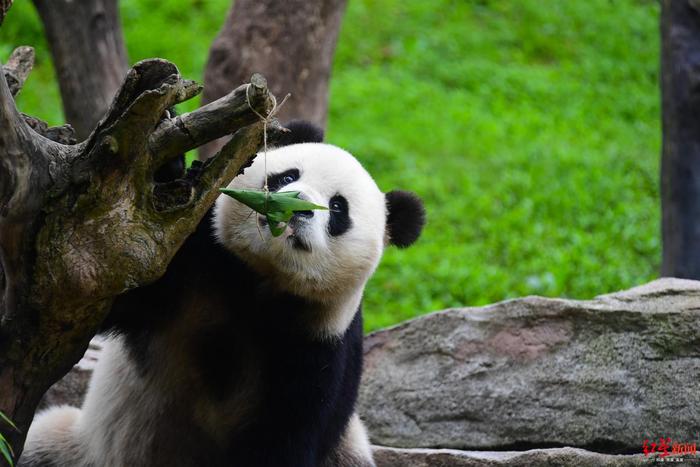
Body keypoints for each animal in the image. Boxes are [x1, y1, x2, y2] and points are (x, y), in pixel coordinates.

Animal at [19, 121, 426, 467]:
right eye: (288, 175)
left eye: (338, 207)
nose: (294, 206)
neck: (254, 282)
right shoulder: (194, 265)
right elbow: (105, 292)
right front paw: (172, 164)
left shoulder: (318, 342)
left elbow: (287, 435)